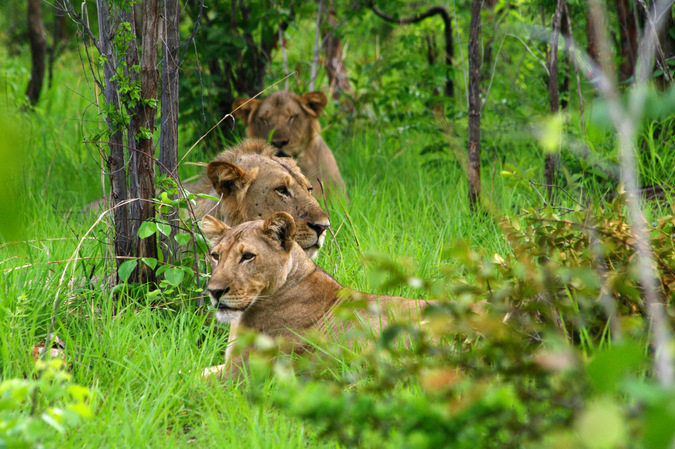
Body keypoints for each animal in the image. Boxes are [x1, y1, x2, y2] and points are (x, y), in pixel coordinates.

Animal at [202, 212, 434, 376]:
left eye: (248, 256)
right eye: (215, 256)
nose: (214, 292)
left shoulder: (241, 371)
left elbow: (196, 379)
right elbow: (199, 369)